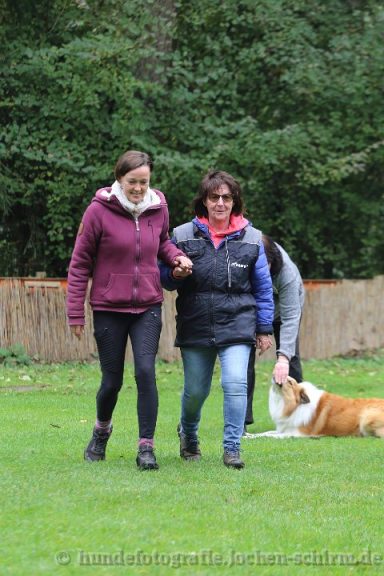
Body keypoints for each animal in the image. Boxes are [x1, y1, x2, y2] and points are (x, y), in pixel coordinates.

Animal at [250, 376, 384, 438]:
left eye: (290, 382)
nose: (275, 374)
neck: (295, 406)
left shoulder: (297, 433)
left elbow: (270, 435)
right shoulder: (284, 428)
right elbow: (266, 432)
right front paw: (250, 435)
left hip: (366, 418)